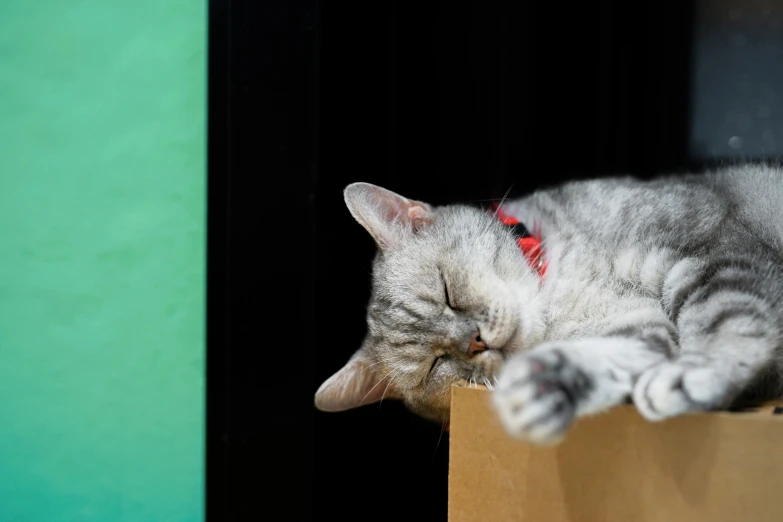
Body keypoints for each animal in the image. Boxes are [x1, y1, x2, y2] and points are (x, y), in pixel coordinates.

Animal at [312, 165, 783, 440]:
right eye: (435, 364)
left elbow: (725, 318)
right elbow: (609, 359)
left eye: (447, 292)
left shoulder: (714, 252)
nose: (475, 341)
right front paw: (542, 389)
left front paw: (694, 374)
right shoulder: (639, 328)